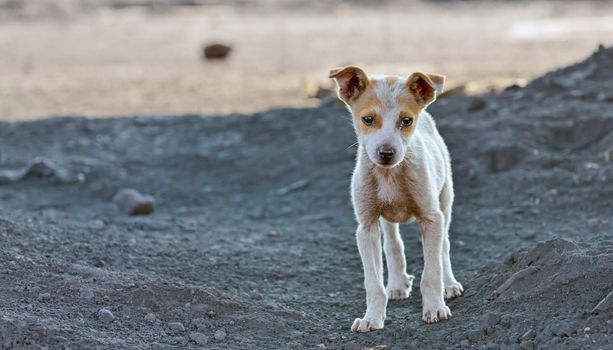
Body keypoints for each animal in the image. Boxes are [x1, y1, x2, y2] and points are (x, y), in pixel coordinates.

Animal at [330, 66, 464, 334]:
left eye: (406, 121)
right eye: (368, 119)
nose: (386, 153)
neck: (389, 175)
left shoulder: (431, 218)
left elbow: (431, 272)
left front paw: (435, 308)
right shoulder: (366, 227)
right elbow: (373, 282)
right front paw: (372, 318)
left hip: (445, 201)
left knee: (444, 246)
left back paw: (450, 284)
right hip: (387, 219)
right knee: (393, 244)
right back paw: (397, 283)